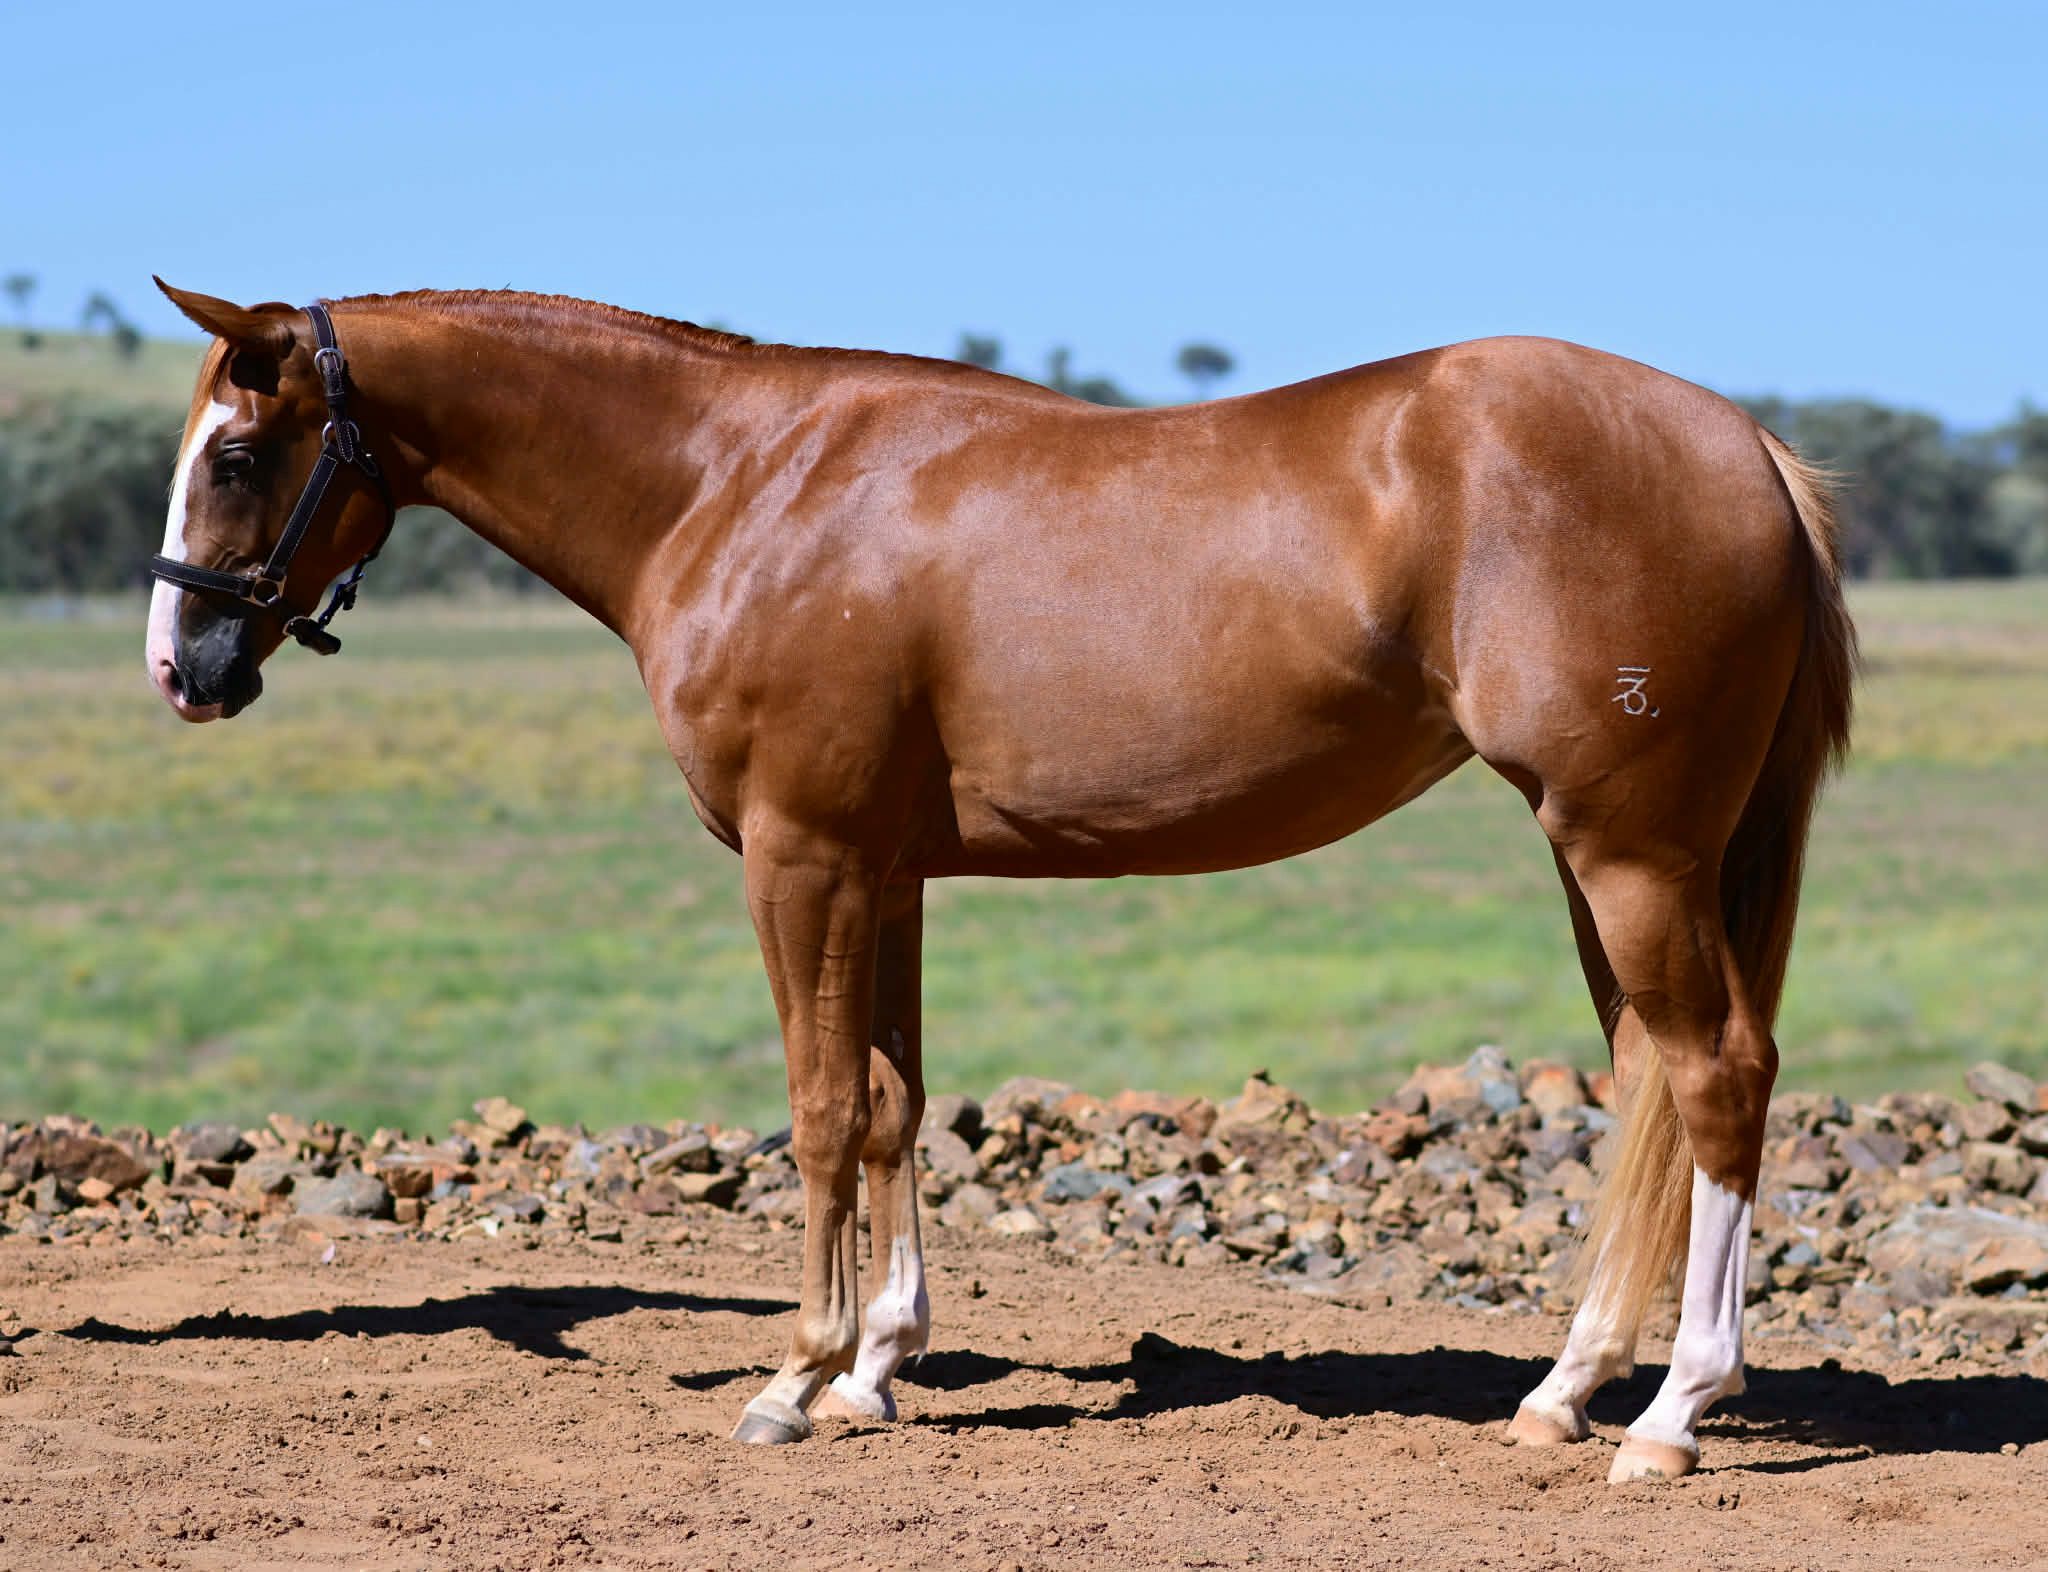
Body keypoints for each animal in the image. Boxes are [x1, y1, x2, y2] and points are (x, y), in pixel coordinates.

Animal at [143, 280, 1853, 1481]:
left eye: (237, 452)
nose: (182, 667)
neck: (735, 483)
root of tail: (1749, 447)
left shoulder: (805, 859)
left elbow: (820, 1108)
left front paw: (794, 1380)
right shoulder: (889, 874)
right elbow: (895, 1102)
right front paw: (880, 1368)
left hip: (1629, 852)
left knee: (1716, 1077)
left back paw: (1673, 1415)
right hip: (1617, 858)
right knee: (1650, 1079)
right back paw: (1565, 1393)